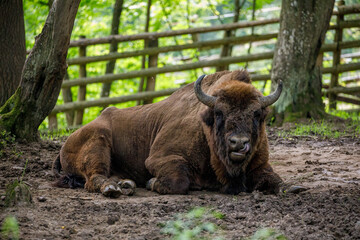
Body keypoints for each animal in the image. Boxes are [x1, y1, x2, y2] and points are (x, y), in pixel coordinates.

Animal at [52, 69, 284, 197]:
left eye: (257, 113)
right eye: (219, 112)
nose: (238, 143)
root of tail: (68, 141)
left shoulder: (261, 164)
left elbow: (274, 180)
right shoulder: (159, 158)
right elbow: (178, 181)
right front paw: (152, 183)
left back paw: (125, 184)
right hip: (98, 141)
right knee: (94, 177)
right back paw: (113, 188)